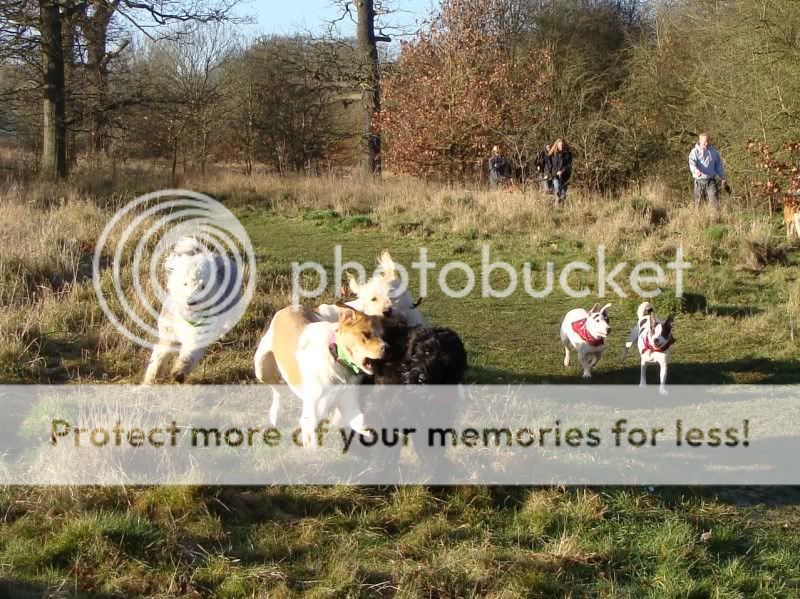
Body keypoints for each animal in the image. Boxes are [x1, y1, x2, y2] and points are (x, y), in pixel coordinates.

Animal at [142, 236, 241, 384]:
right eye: (185, 283)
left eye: (203, 286)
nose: (191, 302)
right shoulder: (167, 334)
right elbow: (159, 358)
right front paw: (150, 380)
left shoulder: (196, 336)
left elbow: (188, 355)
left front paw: (178, 374)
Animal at [252, 304, 386, 446]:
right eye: (366, 334)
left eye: (384, 336)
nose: (387, 348)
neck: (336, 357)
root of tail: (293, 306)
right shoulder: (310, 417)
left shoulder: (350, 407)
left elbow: (363, 426)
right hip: (261, 369)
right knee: (277, 390)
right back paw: (274, 414)